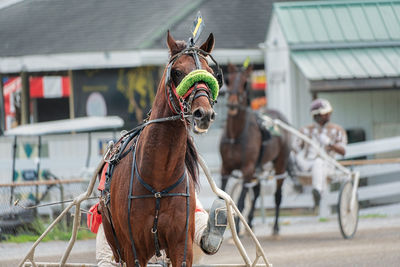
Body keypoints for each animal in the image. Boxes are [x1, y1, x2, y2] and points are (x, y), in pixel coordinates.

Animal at [100, 31, 222, 267]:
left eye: (211, 73)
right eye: (177, 72)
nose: (203, 114)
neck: (158, 180)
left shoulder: (181, 246)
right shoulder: (133, 250)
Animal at [220, 63, 292, 237]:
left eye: (245, 82)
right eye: (229, 80)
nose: (233, 103)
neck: (236, 134)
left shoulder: (247, 169)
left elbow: (240, 201)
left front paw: (238, 226)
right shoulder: (225, 168)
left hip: (280, 163)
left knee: (277, 195)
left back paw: (275, 227)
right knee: (258, 191)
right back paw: (251, 222)